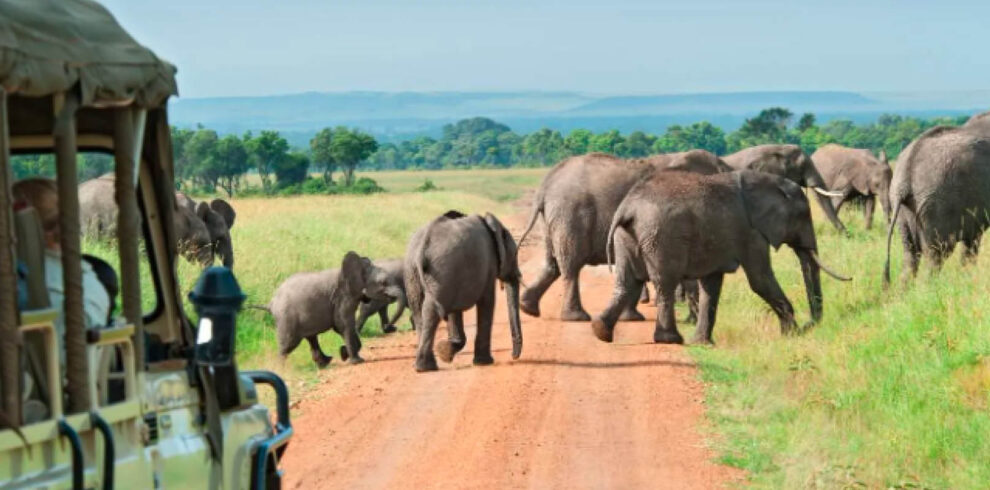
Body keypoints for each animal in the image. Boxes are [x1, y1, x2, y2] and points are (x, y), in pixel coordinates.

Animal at [265, 251, 401, 367]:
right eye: (383, 283)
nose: (392, 328)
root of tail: (271, 302)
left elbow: (341, 327)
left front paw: (343, 353)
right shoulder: (343, 297)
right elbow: (343, 325)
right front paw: (357, 361)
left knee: (311, 338)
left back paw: (325, 363)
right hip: (286, 318)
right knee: (288, 345)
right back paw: (280, 369)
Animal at [405, 210, 522, 372]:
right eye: (514, 256)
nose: (513, 356)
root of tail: (422, 246)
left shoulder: (456, 276)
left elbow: (455, 311)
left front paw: (445, 352)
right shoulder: (488, 267)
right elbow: (487, 302)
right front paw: (483, 362)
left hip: (416, 272)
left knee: (419, 311)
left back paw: (424, 366)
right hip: (441, 269)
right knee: (432, 311)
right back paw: (426, 367)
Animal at [518, 149, 732, 322]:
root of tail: (545, 186)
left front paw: (631, 318)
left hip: (552, 218)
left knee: (552, 263)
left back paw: (528, 308)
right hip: (570, 215)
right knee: (570, 265)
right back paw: (576, 318)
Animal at [592, 170, 850, 345]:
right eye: (804, 215)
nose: (809, 326)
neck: (771, 183)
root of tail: (628, 208)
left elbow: (712, 284)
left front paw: (703, 343)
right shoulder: (751, 232)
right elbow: (760, 279)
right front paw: (791, 335)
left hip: (627, 237)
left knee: (627, 282)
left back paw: (600, 330)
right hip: (661, 236)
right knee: (664, 282)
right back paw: (670, 340)